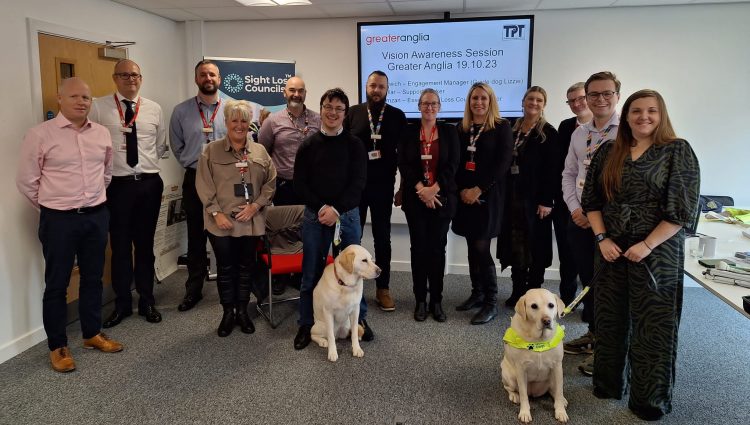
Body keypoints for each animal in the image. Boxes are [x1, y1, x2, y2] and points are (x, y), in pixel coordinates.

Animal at [506, 286, 568, 422]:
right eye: (534, 306)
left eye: (551, 305)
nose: (546, 321)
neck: (539, 341)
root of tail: (534, 392)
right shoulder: (521, 369)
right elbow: (523, 395)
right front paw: (524, 412)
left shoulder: (557, 366)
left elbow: (559, 391)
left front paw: (560, 411)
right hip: (509, 375)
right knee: (509, 388)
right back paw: (514, 396)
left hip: (553, 377)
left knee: (554, 390)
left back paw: (562, 399)